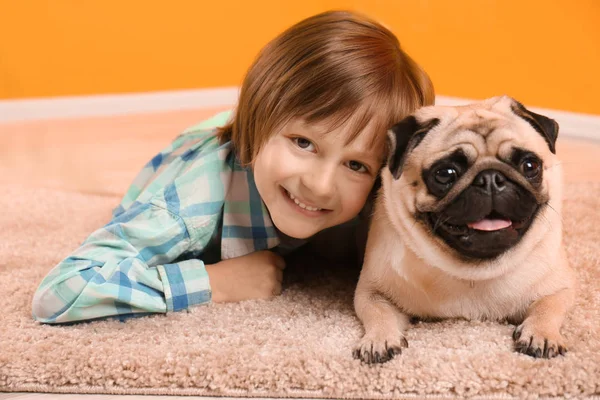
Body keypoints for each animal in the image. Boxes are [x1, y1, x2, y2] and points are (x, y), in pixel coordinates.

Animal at [354, 96, 576, 362]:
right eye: (445, 173)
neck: (474, 273)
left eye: (530, 165)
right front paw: (379, 339)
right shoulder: (372, 290)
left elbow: (548, 307)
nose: (491, 179)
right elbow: (378, 311)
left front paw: (541, 334)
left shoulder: (558, 288)